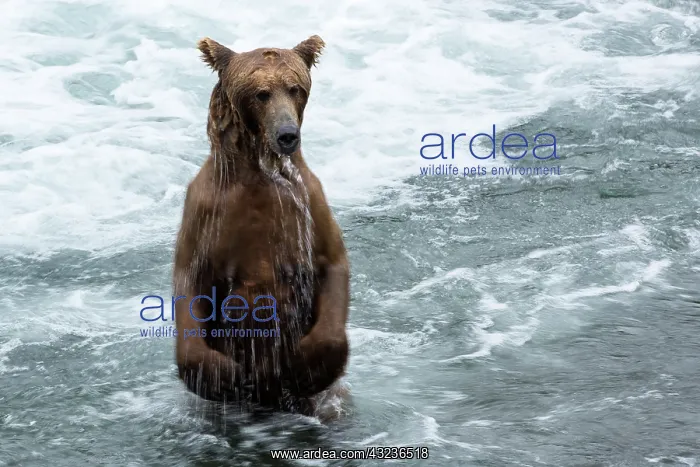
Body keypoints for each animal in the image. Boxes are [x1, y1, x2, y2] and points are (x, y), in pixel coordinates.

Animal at [172, 35, 350, 416]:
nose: (287, 134)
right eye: (261, 93)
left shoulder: (309, 203)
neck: (259, 174)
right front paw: (219, 374)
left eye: (295, 88)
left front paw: (309, 365)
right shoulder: (205, 211)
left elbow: (332, 263)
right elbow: (190, 279)